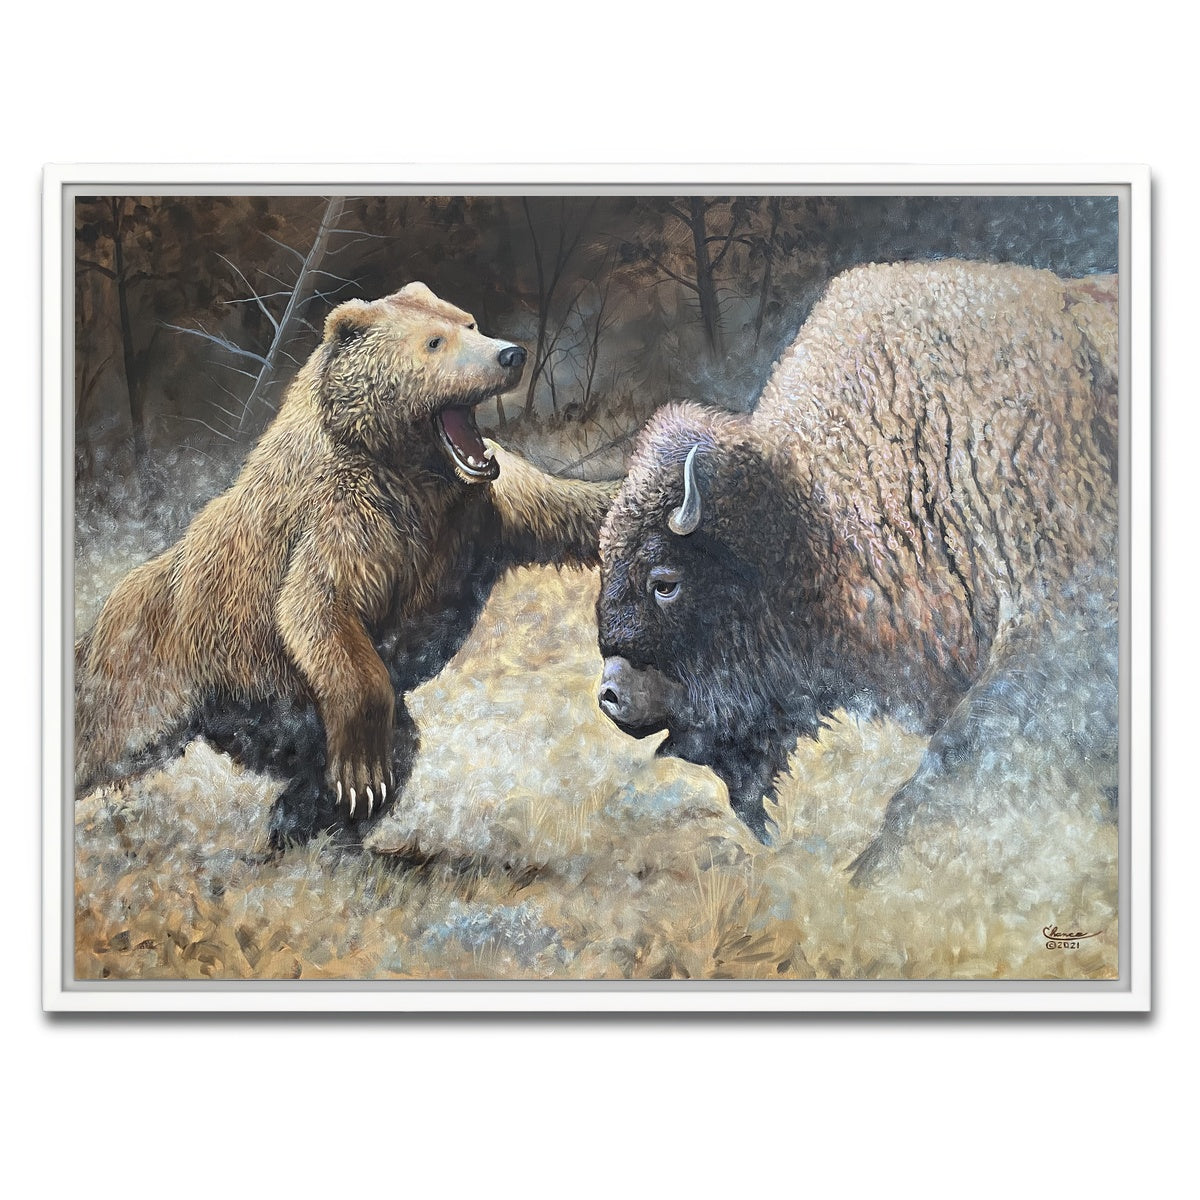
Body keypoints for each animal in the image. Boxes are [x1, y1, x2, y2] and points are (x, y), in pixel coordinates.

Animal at [75, 281, 616, 846]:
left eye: (469, 323)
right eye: (434, 341)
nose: (510, 354)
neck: (415, 472)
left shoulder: (482, 503)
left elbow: (571, 508)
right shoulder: (347, 514)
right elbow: (318, 604)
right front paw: (361, 774)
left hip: (267, 712)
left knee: (379, 746)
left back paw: (301, 821)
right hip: (168, 666)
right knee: (110, 735)